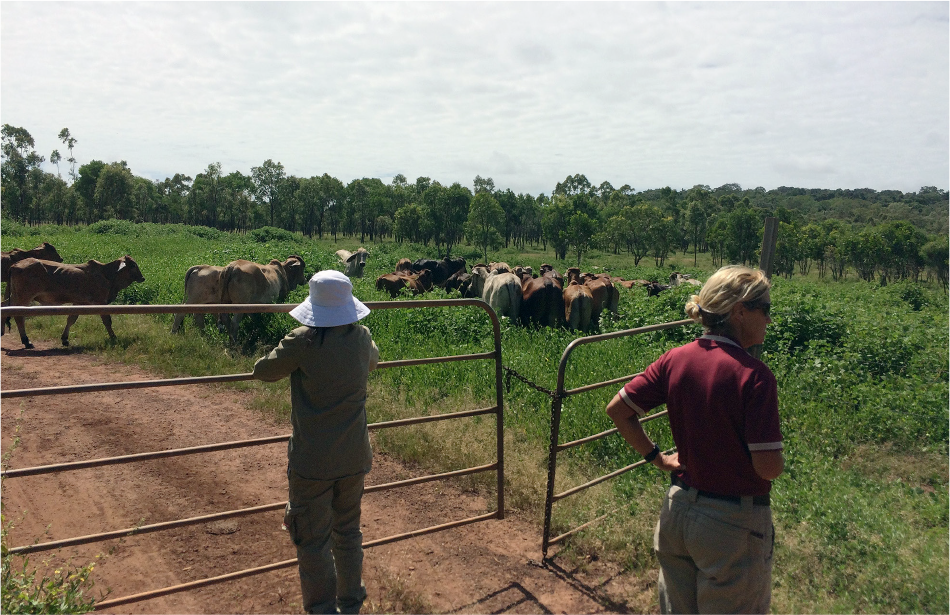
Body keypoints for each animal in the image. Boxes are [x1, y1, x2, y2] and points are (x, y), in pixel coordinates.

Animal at [1, 255, 147, 348]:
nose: (142, 278)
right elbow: (107, 321)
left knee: (4, 306)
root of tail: (15, 265)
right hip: (23, 297)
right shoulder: (100, 302)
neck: (107, 275)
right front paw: (113, 337)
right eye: (133, 265)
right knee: (19, 316)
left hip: (15, 295)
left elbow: (71, 319)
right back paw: (26, 341)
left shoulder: (79, 302)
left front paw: (65, 339)